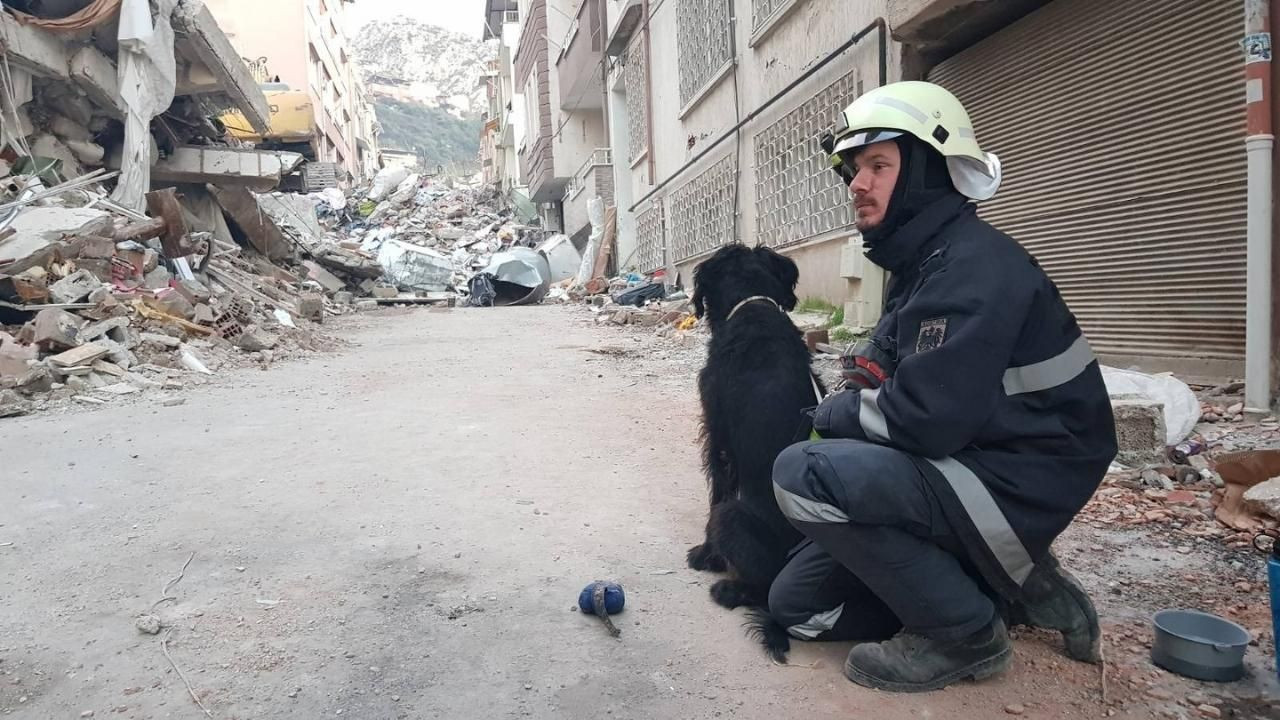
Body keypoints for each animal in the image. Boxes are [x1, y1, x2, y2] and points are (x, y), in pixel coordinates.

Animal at [686, 243, 824, 661]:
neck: (752, 306)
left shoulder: (718, 439)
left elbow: (716, 492)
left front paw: (706, 555)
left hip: (733, 518)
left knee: (765, 589)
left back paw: (728, 590)